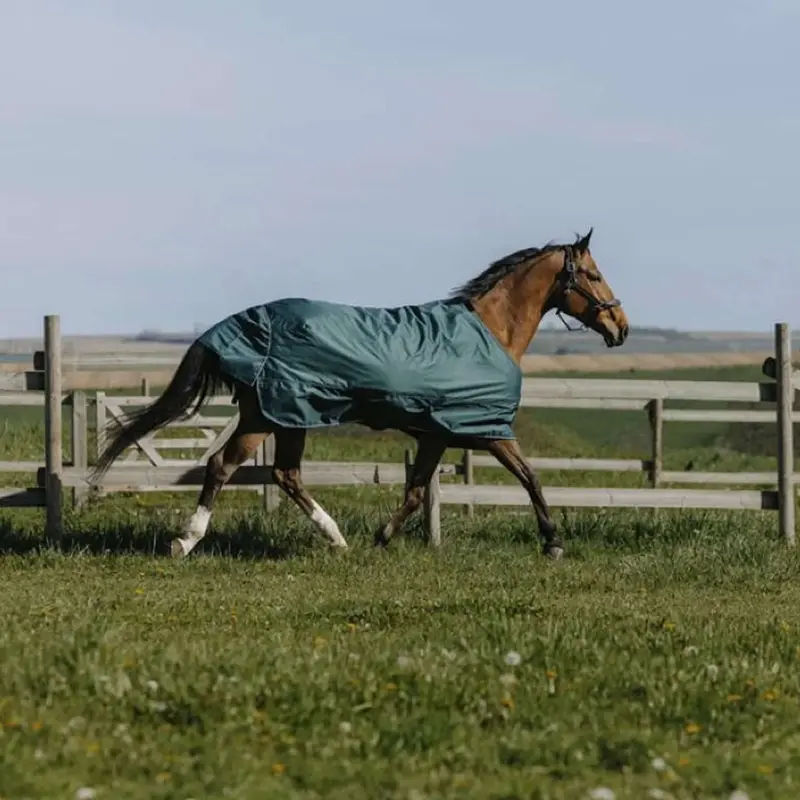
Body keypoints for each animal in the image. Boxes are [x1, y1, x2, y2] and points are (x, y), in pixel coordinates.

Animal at [91, 228, 629, 559]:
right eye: (595, 275)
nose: (620, 327)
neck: (490, 332)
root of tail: (233, 326)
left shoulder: (436, 434)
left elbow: (416, 493)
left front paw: (381, 538)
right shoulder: (486, 429)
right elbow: (531, 478)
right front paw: (553, 543)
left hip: (289, 418)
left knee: (286, 474)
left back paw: (337, 539)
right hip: (267, 416)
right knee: (222, 466)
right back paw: (185, 541)